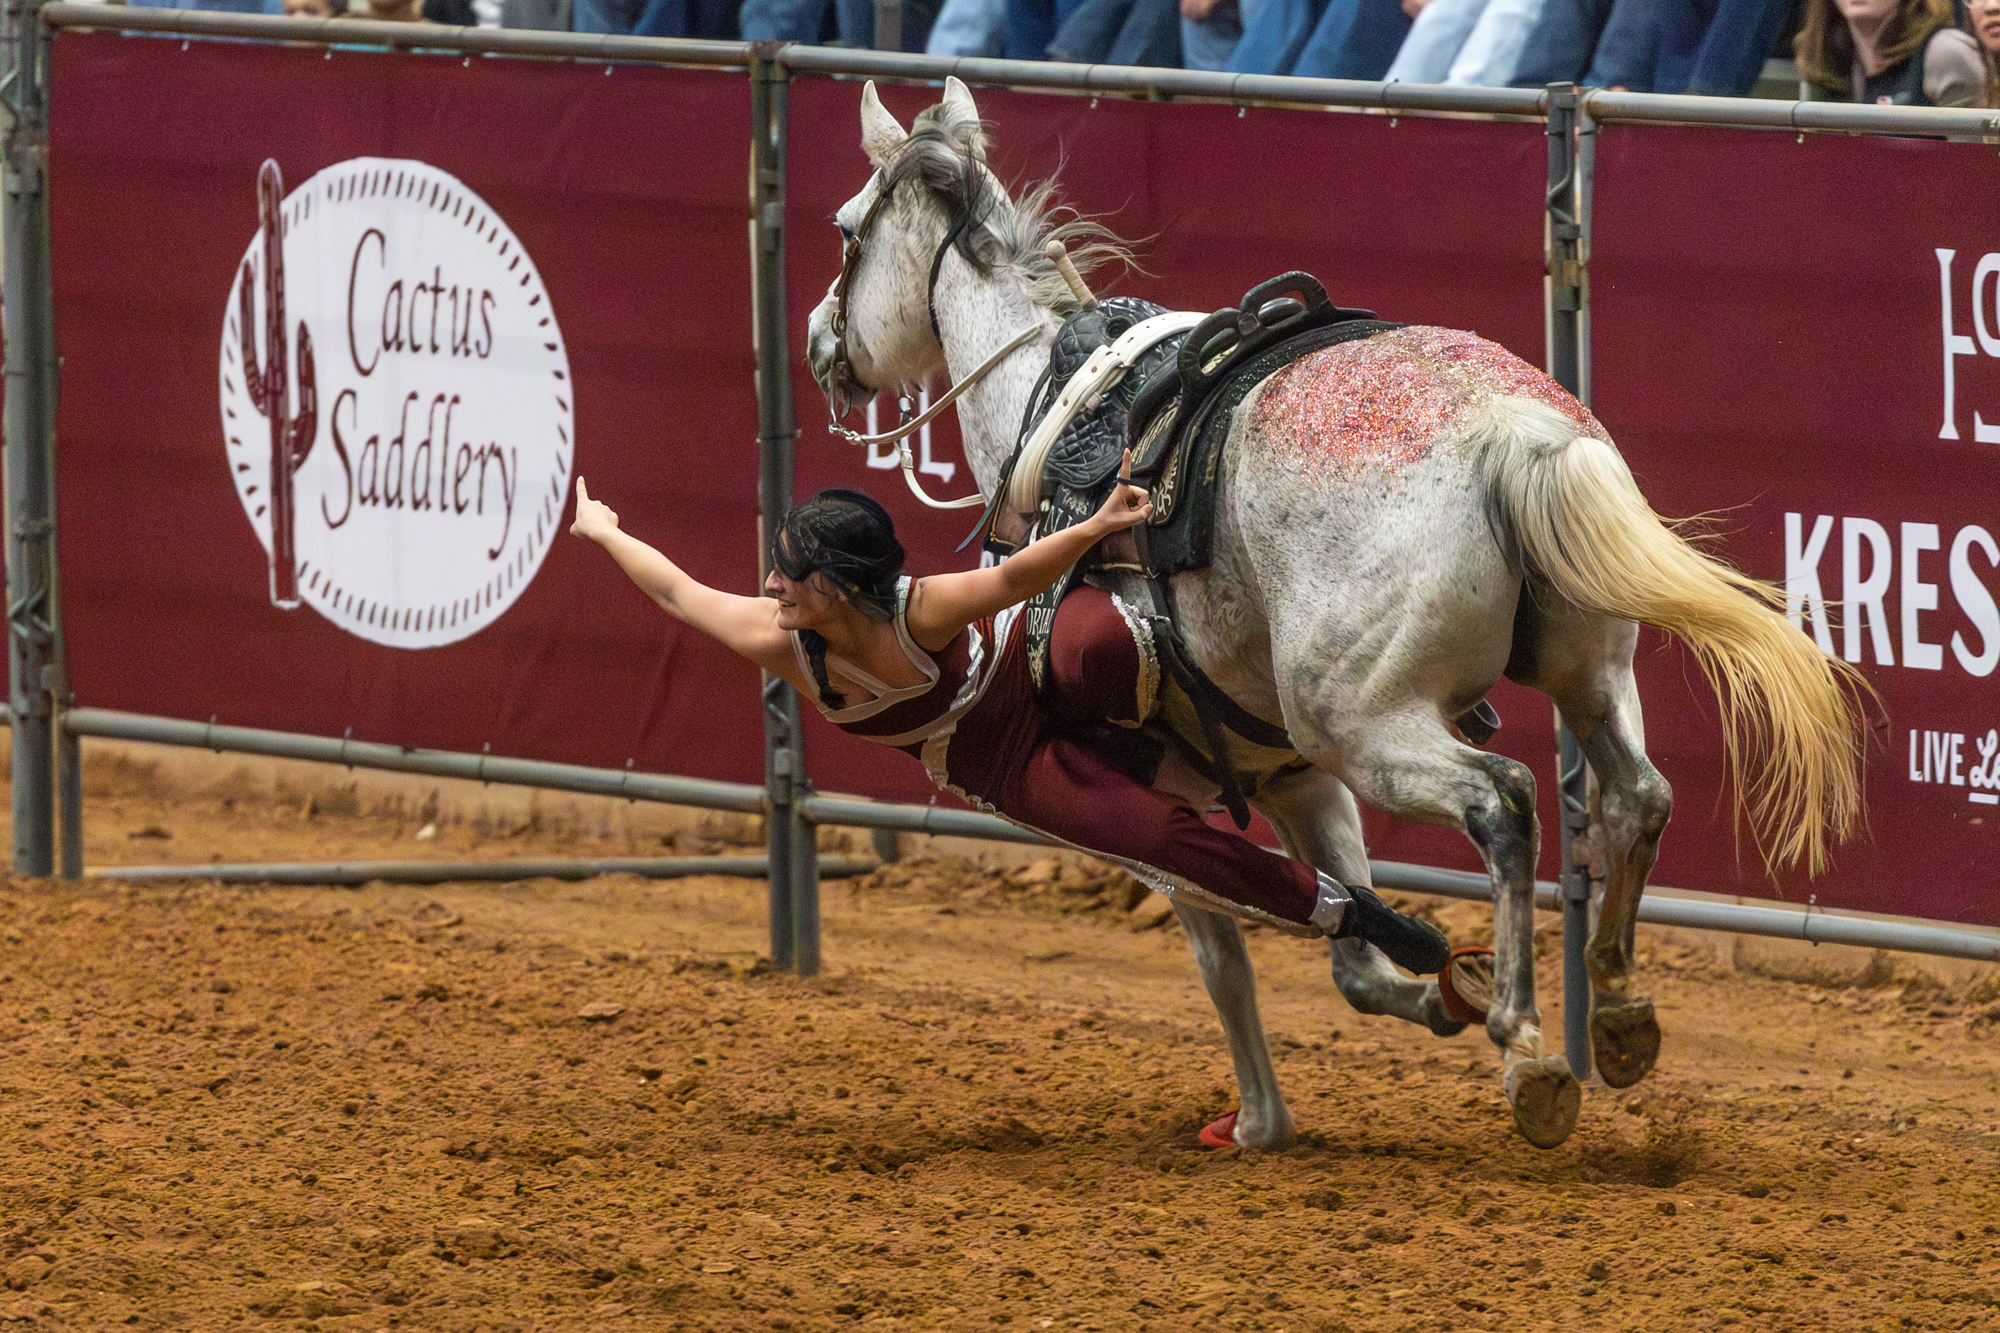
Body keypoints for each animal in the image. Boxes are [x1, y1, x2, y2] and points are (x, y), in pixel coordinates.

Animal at [800, 78, 1872, 1144]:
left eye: (847, 230)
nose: (816, 344)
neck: (1053, 411)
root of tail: (1512, 432)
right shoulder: (1293, 776)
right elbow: (1351, 960)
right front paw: (1435, 995)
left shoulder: (1164, 785)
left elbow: (1225, 954)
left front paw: (1260, 1119)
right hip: (1583, 675)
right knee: (1636, 795)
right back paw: (1613, 1011)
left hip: (1362, 722)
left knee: (1504, 801)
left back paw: (1528, 1043)